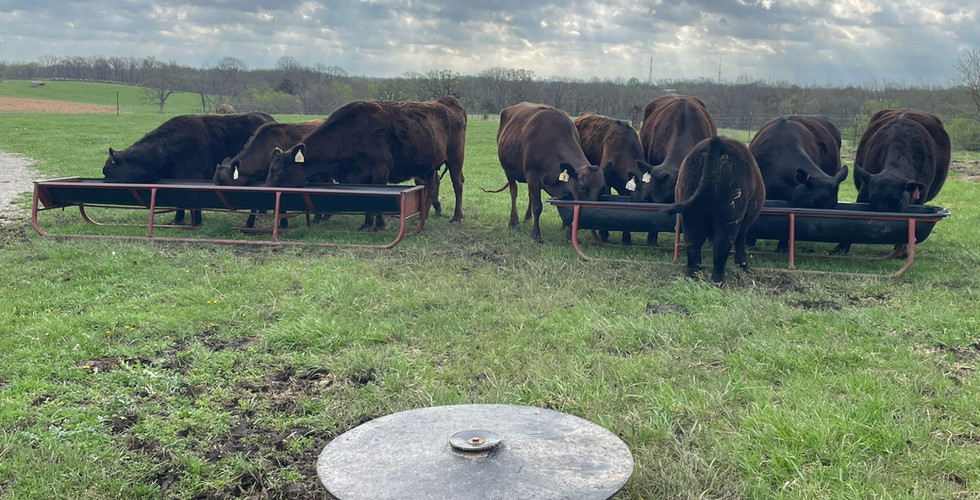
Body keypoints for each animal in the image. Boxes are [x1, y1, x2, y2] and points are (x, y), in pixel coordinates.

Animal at [265, 96, 467, 229]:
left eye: (276, 170)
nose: (266, 190)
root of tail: (448, 101)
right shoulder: (358, 175)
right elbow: (366, 196)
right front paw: (368, 223)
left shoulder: (380, 170)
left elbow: (377, 195)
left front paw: (380, 224)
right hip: (428, 165)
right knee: (431, 187)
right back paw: (421, 218)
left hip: (455, 158)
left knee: (457, 183)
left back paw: (457, 217)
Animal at [495, 102, 606, 243]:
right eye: (582, 187)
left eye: (601, 189)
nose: (592, 215)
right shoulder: (533, 175)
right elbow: (537, 206)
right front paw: (536, 234)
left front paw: (568, 234)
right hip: (508, 171)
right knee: (514, 192)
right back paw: (513, 221)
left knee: (530, 195)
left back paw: (527, 217)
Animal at [668, 136, 766, 283]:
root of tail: (718, 142)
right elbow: (740, 240)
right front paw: (743, 264)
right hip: (729, 216)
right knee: (721, 247)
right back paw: (718, 281)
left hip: (691, 214)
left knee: (692, 242)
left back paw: (691, 275)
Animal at [832, 109, 950, 254]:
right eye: (872, 199)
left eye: (899, 202)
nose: (883, 227)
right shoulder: (864, 189)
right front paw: (842, 247)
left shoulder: (920, 197)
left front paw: (902, 249)